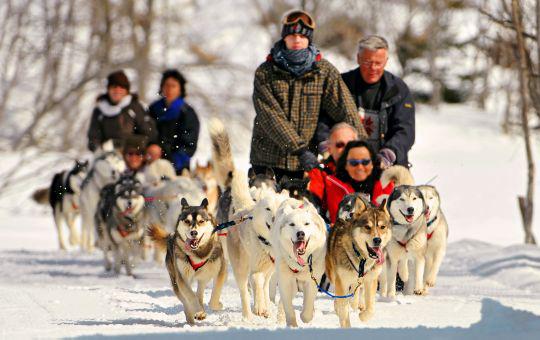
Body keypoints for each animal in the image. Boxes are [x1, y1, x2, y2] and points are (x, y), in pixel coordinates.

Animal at [148, 198, 226, 326]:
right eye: (187, 221)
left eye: (201, 221)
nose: (194, 232)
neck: (198, 254)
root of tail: (170, 237)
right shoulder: (181, 277)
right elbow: (190, 296)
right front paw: (198, 311)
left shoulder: (221, 270)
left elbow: (215, 294)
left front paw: (217, 305)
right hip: (175, 281)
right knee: (186, 300)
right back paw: (192, 319)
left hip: (203, 278)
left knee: (199, 292)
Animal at [227, 170, 288, 318]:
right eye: (268, 209)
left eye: (281, 209)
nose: (275, 218)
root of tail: (243, 209)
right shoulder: (255, 270)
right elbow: (255, 281)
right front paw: (259, 307)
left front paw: (266, 308)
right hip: (241, 268)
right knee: (245, 291)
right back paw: (248, 316)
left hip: (269, 269)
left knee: (265, 286)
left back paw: (267, 308)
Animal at [272, 198, 326, 328]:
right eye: (292, 224)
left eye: (307, 224)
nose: (300, 233)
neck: (300, 263)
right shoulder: (285, 280)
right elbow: (288, 307)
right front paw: (292, 324)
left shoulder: (312, 281)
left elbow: (308, 307)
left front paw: (306, 317)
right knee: (283, 301)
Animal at [326, 197, 390, 326]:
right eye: (367, 227)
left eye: (382, 227)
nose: (377, 240)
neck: (361, 259)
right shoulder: (342, 282)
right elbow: (343, 308)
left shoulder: (371, 280)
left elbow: (370, 308)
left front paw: (363, 316)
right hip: (334, 275)